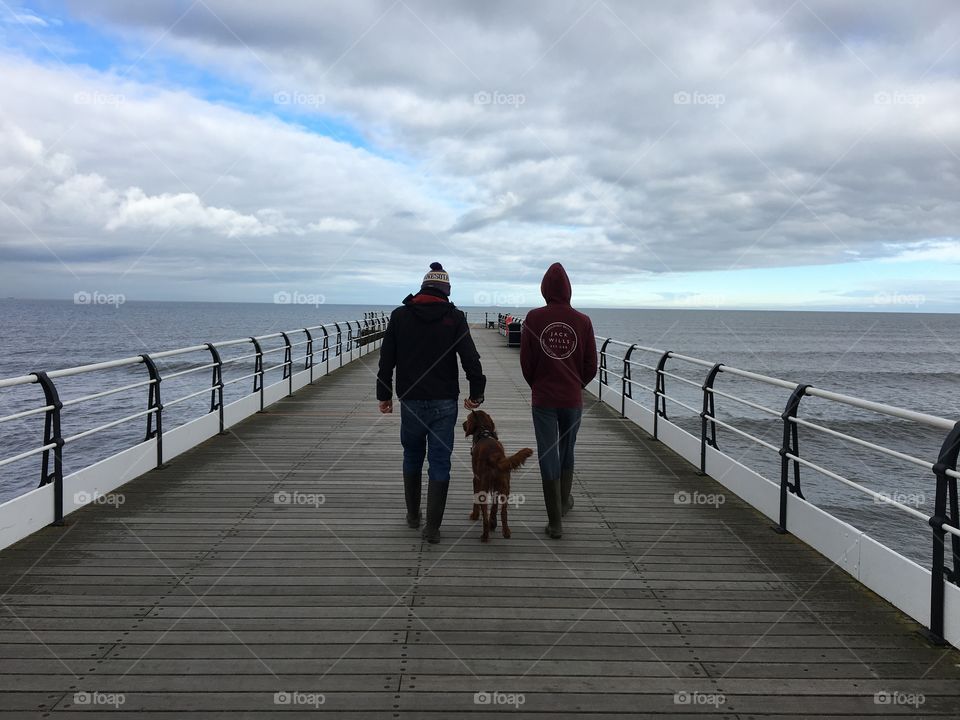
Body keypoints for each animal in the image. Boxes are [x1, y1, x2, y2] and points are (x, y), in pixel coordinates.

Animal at [464, 410, 532, 540]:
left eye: (467, 418)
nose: (463, 424)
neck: (483, 431)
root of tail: (494, 456)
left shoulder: (476, 480)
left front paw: (475, 515)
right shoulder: (496, 488)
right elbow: (495, 506)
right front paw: (493, 522)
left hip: (484, 486)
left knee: (485, 514)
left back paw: (485, 536)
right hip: (505, 486)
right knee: (503, 512)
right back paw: (506, 532)